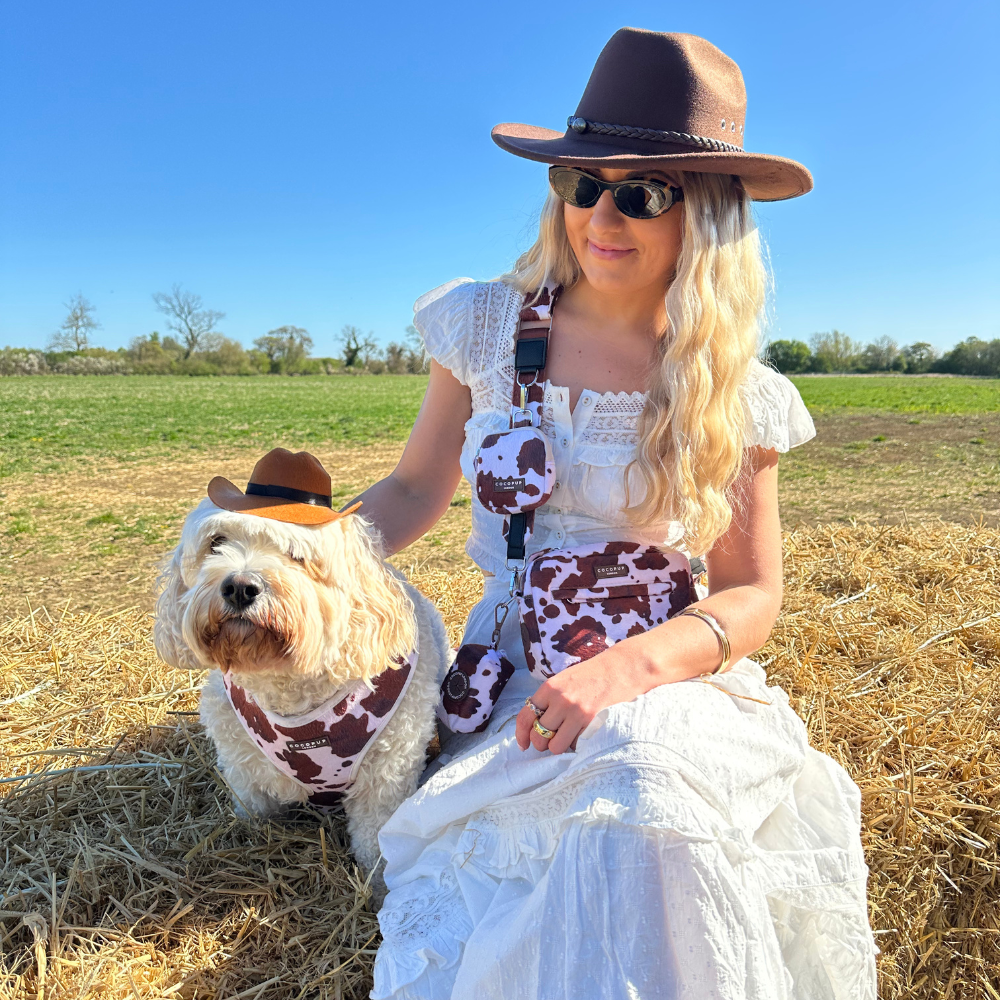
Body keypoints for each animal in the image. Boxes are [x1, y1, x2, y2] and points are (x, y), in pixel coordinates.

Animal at [153, 449, 449, 892]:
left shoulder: (385, 777)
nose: (239, 587)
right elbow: (253, 808)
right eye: (216, 543)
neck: (289, 688)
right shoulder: (245, 769)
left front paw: (379, 887)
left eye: (296, 554)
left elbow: (377, 838)